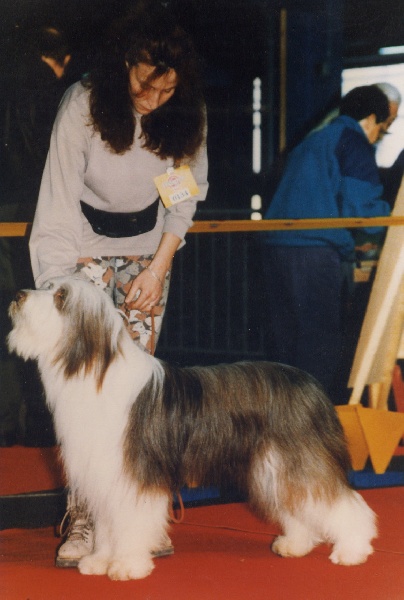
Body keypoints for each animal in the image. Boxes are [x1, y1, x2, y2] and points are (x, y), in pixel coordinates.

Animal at [7, 277, 377, 581]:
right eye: (49, 286)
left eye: (61, 296)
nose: (18, 295)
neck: (93, 368)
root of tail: (311, 383)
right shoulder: (105, 474)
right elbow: (109, 525)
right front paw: (100, 560)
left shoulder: (134, 474)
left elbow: (130, 522)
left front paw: (127, 565)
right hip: (272, 466)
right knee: (296, 503)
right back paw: (296, 544)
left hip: (300, 459)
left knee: (340, 502)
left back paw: (353, 549)